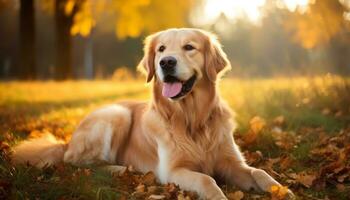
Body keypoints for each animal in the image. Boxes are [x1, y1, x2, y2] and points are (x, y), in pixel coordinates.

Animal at [13, 28, 292, 200]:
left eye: (189, 47)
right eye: (161, 49)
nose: (166, 62)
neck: (192, 118)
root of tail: (66, 141)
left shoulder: (232, 163)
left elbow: (258, 172)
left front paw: (281, 190)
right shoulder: (173, 171)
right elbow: (206, 180)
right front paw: (218, 195)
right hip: (116, 114)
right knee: (77, 161)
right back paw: (120, 169)